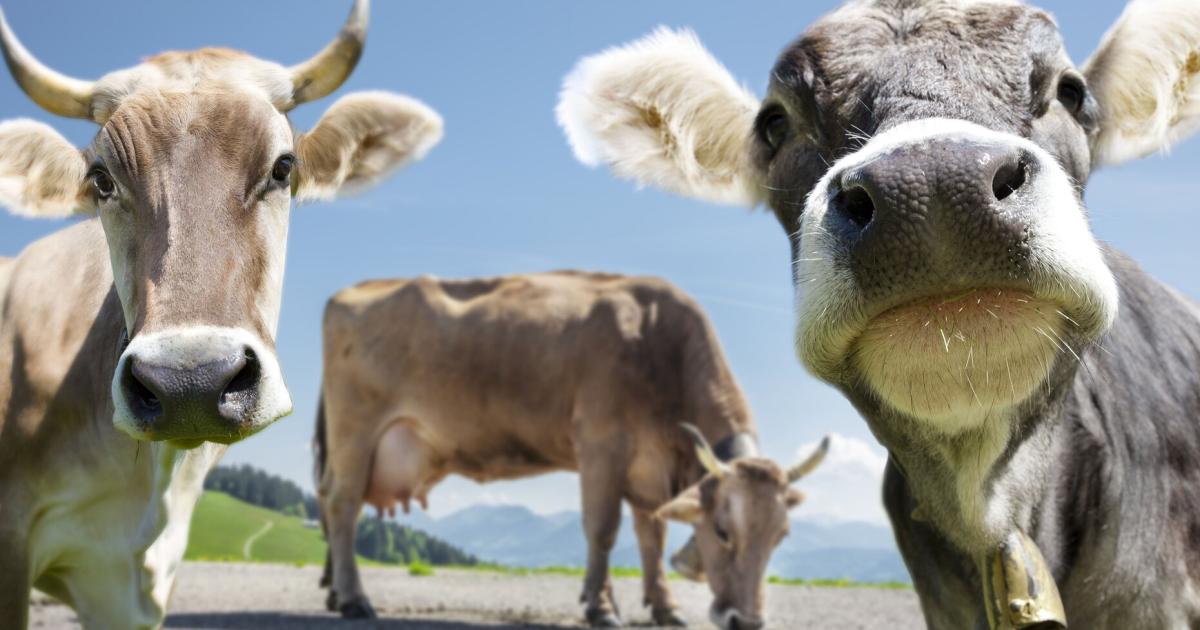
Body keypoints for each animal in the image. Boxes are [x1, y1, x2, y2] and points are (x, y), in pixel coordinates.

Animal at [313, 271, 829, 629]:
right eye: (722, 531)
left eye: (781, 535)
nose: (748, 621)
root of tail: (350, 292)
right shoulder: (602, 442)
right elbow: (602, 530)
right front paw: (600, 607)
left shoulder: (650, 467)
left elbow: (652, 538)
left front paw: (664, 607)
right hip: (355, 432)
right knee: (342, 507)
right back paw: (354, 599)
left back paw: (335, 592)